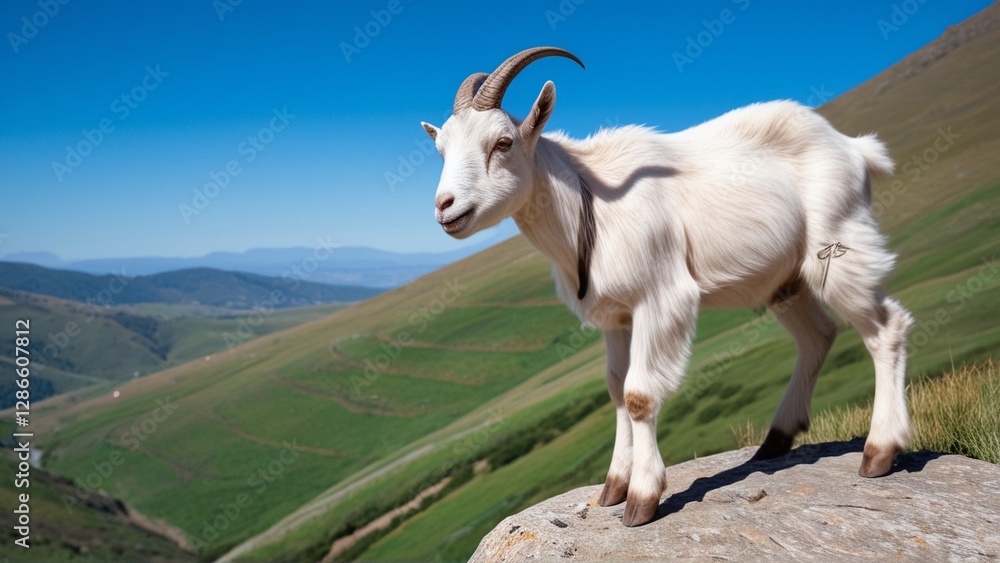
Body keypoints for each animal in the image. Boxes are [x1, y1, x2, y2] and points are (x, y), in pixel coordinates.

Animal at [421, 47, 914, 527]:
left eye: (502, 142)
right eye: (441, 149)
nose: (445, 208)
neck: (590, 204)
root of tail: (854, 147)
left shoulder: (660, 299)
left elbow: (638, 395)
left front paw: (642, 500)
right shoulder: (615, 318)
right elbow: (616, 389)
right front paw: (613, 488)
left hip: (841, 249)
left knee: (886, 328)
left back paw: (878, 452)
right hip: (785, 282)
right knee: (818, 336)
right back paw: (776, 440)